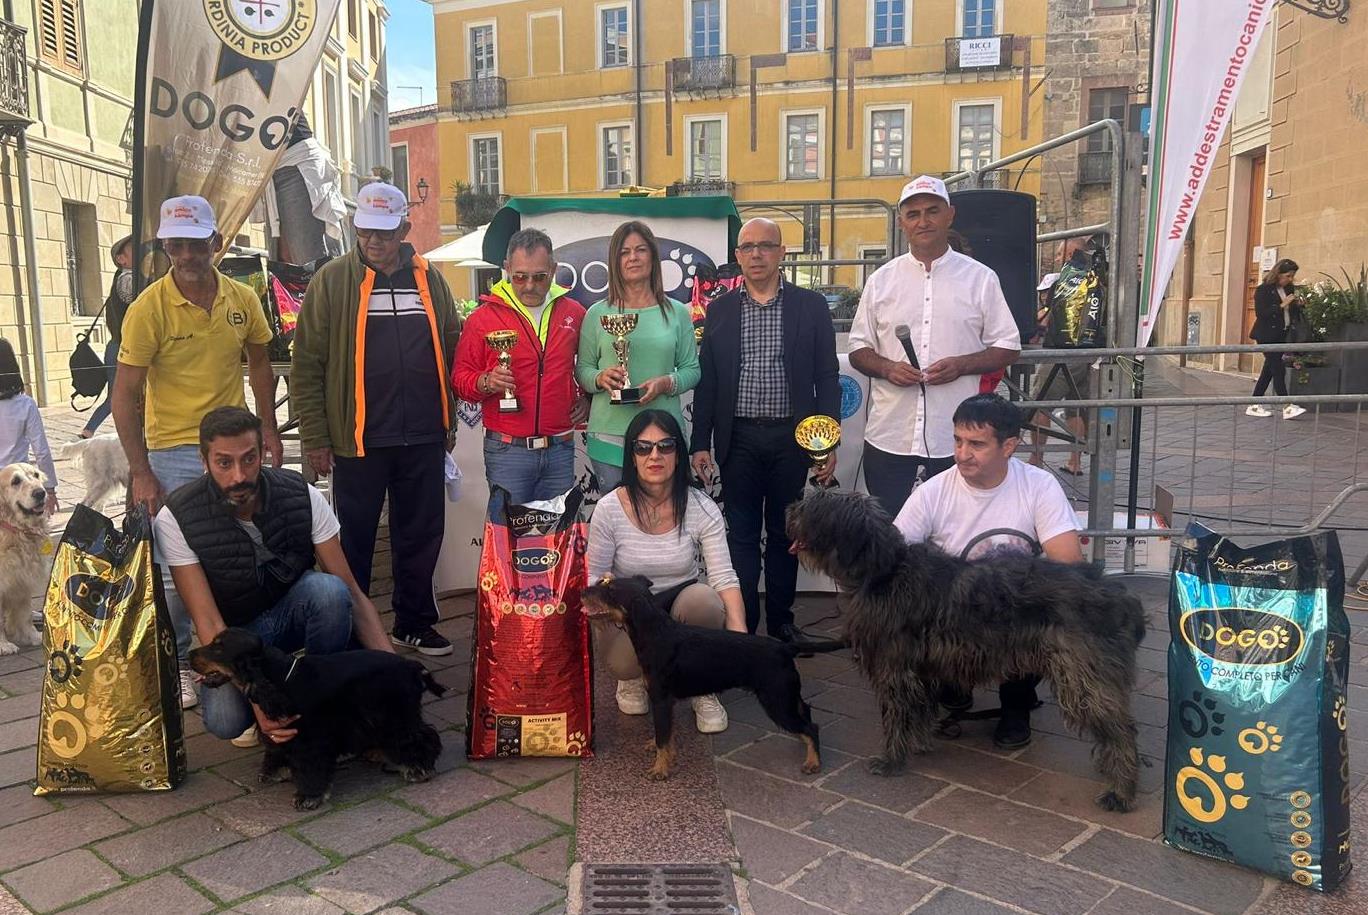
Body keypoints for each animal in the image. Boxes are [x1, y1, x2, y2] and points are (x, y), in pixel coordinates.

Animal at [0, 459, 49, 653]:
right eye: (15, 481)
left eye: (36, 475)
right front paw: (4, 645)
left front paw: (32, 636)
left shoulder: (23, 579)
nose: (40, 493)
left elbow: (25, 614)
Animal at [190, 629, 445, 804]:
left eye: (218, 647)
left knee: (421, 737)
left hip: (397, 716)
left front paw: (309, 796)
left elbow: (309, 765)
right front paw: (274, 771)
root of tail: (411, 665)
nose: (189, 653)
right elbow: (276, 750)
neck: (280, 678)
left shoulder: (309, 737)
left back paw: (419, 768)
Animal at [580, 571, 842, 776]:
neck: (655, 632)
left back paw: (812, 763)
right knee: (806, 712)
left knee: (811, 727)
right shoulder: (665, 702)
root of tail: (785, 648)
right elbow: (666, 733)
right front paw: (661, 754)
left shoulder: (661, 699)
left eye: (610, 591)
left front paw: (660, 769)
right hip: (787, 695)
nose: (582, 590)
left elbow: (663, 735)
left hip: (777, 700)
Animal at [787, 489, 1149, 809]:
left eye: (815, 506)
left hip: (1081, 679)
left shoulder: (894, 670)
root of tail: (1122, 596)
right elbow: (919, 711)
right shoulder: (920, 671)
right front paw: (919, 744)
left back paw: (1121, 792)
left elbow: (897, 716)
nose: (789, 510)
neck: (885, 571)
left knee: (1122, 730)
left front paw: (891, 759)